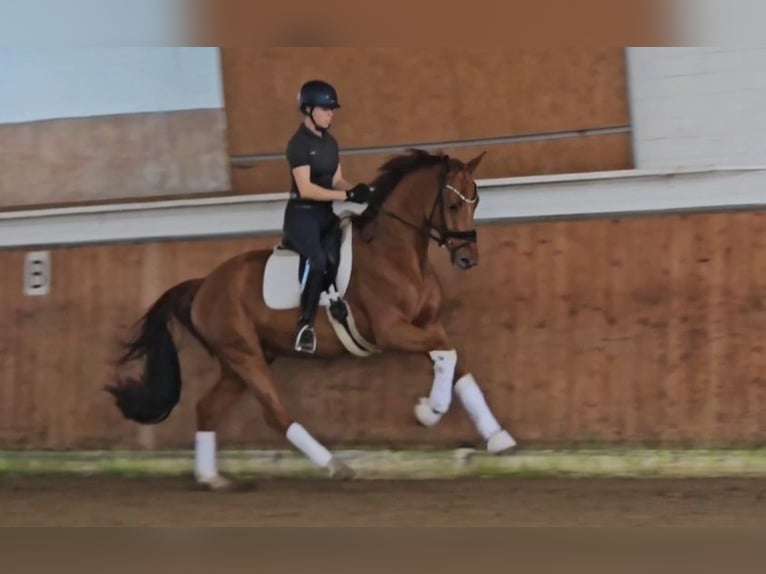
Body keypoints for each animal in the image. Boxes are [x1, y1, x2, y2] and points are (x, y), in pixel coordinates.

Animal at [106, 148, 516, 490]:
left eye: (476, 200)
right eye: (452, 203)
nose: (467, 259)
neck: (396, 254)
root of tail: (204, 285)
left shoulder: (428, 325)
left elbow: (455, 362)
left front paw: (498, 438)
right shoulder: (390, 331)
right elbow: (448, 355)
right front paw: (428, 412)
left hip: (242, 359)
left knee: (207, 408)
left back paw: (211, 478)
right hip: (245, 355)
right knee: (276, 413)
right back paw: (335, 465)